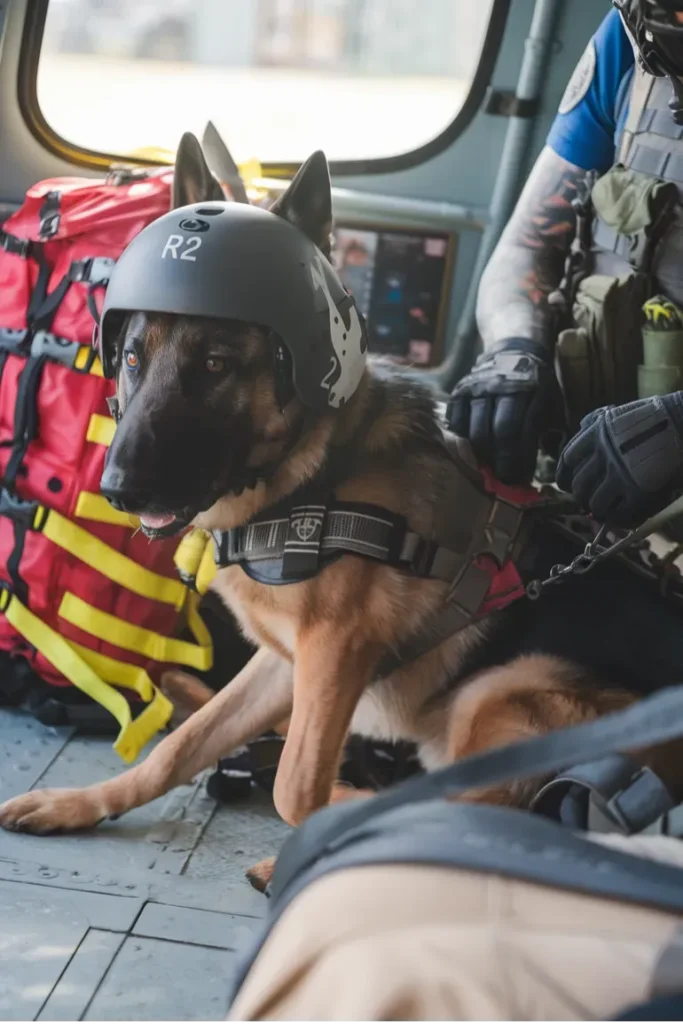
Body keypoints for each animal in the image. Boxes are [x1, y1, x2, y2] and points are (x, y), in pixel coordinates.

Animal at [3, 136, 683, 888]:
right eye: (129, 356)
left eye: (214, 365)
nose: (119, 490)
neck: (318, 470)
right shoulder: (286, 663)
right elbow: (181, 749)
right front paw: (84, 802)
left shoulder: (334, 655)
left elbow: (295, 788)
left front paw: (325, 804)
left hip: (507, 687)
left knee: (476, 811)